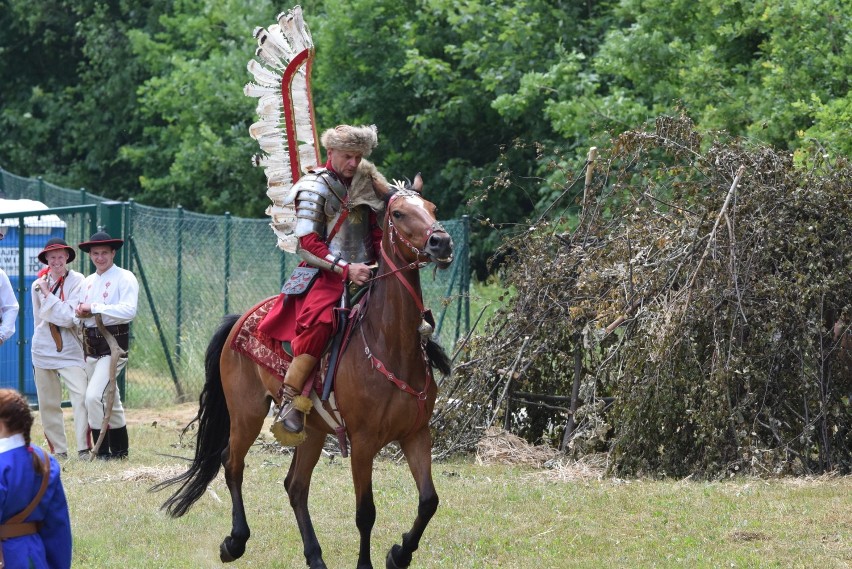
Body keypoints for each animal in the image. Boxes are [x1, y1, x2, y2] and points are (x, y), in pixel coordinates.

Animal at [156, 174, 456, 568]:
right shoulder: (363, 444)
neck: (390, 345)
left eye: (433, 208)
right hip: (247, 413)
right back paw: (235, 542)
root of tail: (240, 320)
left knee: (295, 486)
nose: (441, 241)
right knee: (231, 464)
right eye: (400, 213)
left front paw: (399, 553)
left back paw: (315, 557)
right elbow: (366, 513)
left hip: (311, 430)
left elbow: (429, 501)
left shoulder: (416, 434)